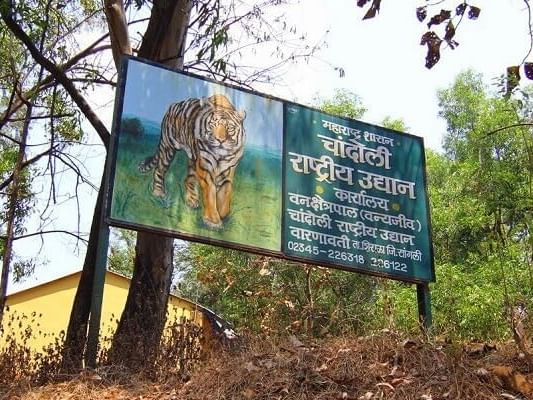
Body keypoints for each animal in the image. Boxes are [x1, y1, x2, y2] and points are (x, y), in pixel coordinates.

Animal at [137, 93, 245, 228]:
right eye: (212, 125)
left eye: (229, 128)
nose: (220, 140)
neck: (221, 156)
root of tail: (173, 105)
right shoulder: (205, 166)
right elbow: (210, 193)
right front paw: (213, 220)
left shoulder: (228, 170)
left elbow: (225, 194)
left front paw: (222, 214)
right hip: (168, 147)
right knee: (159, 169)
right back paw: (158, 193)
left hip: (193, 160)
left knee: (188, 179)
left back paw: (191, 201)